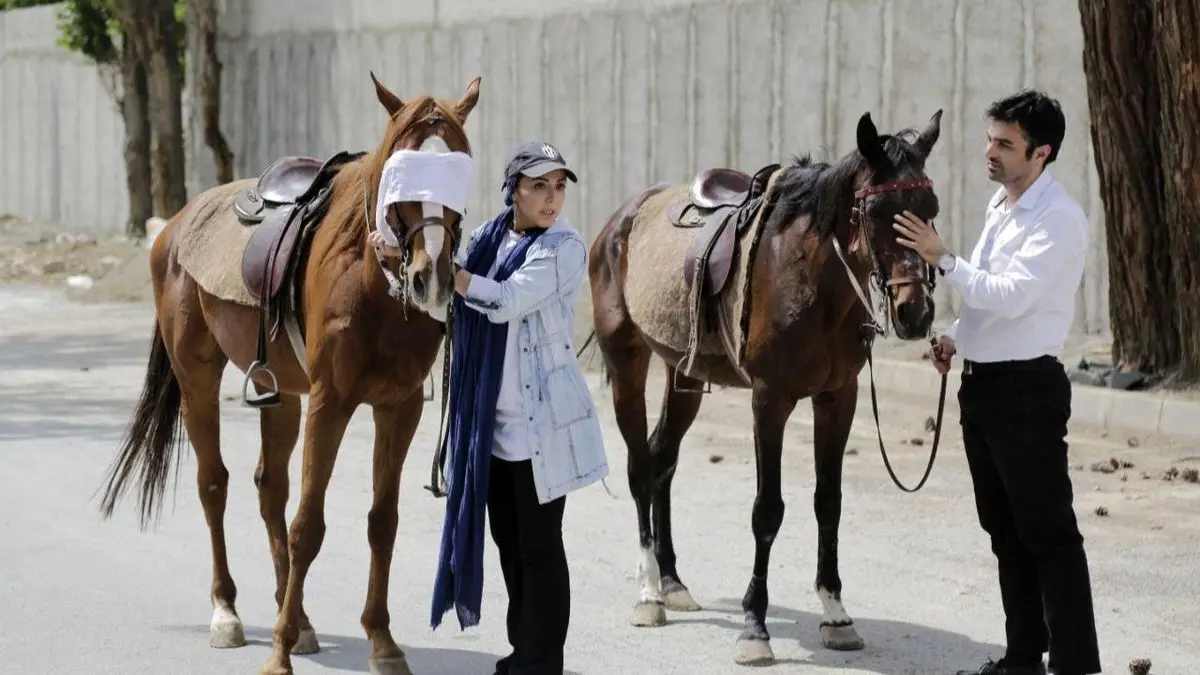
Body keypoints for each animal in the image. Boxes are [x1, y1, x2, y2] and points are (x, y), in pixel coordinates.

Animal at [97, 73, 482, 672]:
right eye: (401, 171)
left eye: (460, 167)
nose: (432, 276)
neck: (370, 279)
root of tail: (173, 228)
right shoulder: (331, 402)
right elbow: (309, 526)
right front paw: (277, 653)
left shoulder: (399, 407)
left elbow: (382, 522)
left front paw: (381, 640)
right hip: (197, 379)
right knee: (215, 484)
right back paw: (228, 613)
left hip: (279, 392)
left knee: (268, 487)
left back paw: (296, 618)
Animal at [585, 110, 940, 662]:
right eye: (879, 211)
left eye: (931, 209)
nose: (915, 313)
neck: (814, 279)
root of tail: (617, 223)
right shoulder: (770, 399)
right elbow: (767, 510)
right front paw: (754, 626)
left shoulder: (838, 398)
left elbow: (828, 501)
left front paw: (836, 614)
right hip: (627, 363)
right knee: (641, 468)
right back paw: (648, 593)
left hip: (685, 374)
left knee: (662, 458)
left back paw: (672, 581)